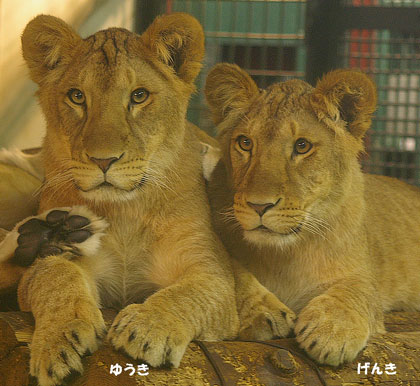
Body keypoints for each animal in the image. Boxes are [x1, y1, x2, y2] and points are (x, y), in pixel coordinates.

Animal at [0, 15, 244, 386]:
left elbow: (188, 295)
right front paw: (58, 342)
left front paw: (147, 328)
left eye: (139, 96)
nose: (104, 161)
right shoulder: (45, 272)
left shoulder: (211, 271)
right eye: (77, 96)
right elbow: (54, 278)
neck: (127, 210)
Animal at [203, 63, 420, 364]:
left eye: (302, 146)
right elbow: (232, 270)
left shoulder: (361, 274)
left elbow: (355, 291)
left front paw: (332, 331)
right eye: (245, 143)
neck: (284, 255)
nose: (259, 206)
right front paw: (264, 312)